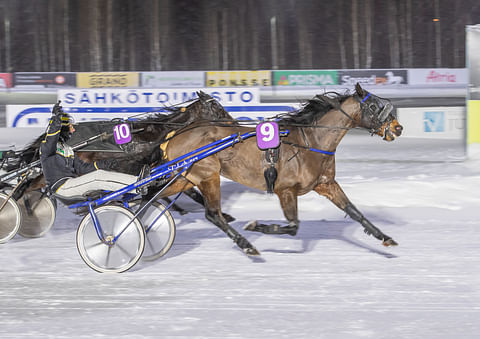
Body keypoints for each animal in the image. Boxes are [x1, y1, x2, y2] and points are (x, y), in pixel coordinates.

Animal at [159, 83, 404, 256]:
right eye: (373, 106)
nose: (398, 128)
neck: (311, 141)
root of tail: (175, 134)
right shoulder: (285, 189)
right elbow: (293, 226)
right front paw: (255, 225)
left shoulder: (325, 184)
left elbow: (354, 212)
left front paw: (385, 237)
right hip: (208, 175)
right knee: (212, 214)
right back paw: (246, 244)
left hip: (185, 178)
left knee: (159, 196)